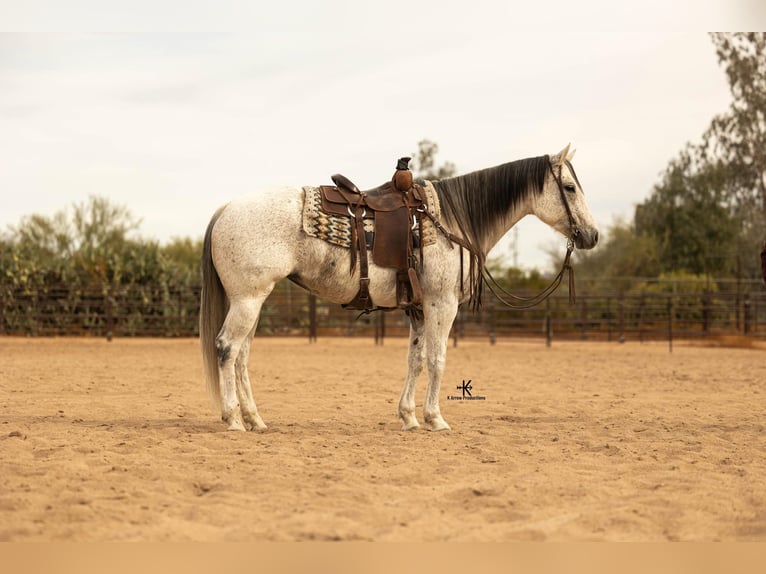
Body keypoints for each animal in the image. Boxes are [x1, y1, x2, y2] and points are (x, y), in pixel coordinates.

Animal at [198, 144, 600, 432]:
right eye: (569, 188)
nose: (592, 235)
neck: (450, 219)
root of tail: (225, 209)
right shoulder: (442, 304)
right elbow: (438, 359)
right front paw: (436, 418)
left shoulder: (418, 309)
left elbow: (416, 359)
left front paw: (409, 416)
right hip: (248, 299)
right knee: (227, 348)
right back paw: (233, 419)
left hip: (252, 301)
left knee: (242, 356)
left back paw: (255, 419)